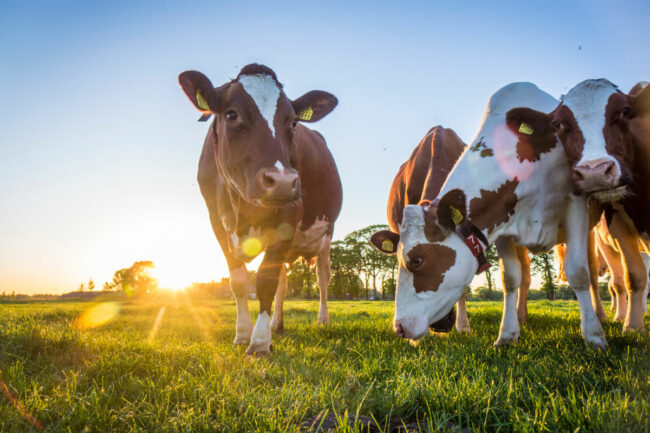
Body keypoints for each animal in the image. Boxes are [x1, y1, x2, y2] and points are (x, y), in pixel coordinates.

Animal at [176, 65, 340, 354]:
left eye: (293, 122)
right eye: (232, 114)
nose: (283, 181)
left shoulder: (290, 215)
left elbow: (265, 280)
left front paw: (260, 342)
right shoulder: (216, 223)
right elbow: (239, 282)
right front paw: (243, 333)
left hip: (326, 235)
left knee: (322, 277)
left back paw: (322, 320)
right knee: (284, 282)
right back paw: (277, 324)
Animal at [372, 82, 604, 348]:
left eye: (417, 260)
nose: (399, 328)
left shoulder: (575, 204)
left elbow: (578, 271)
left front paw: (594, 336)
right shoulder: (502, 223)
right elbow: (510, 278)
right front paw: (507, 334)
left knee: (592, 270)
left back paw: (605, 317)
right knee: (525, 274)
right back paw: (521, 317)